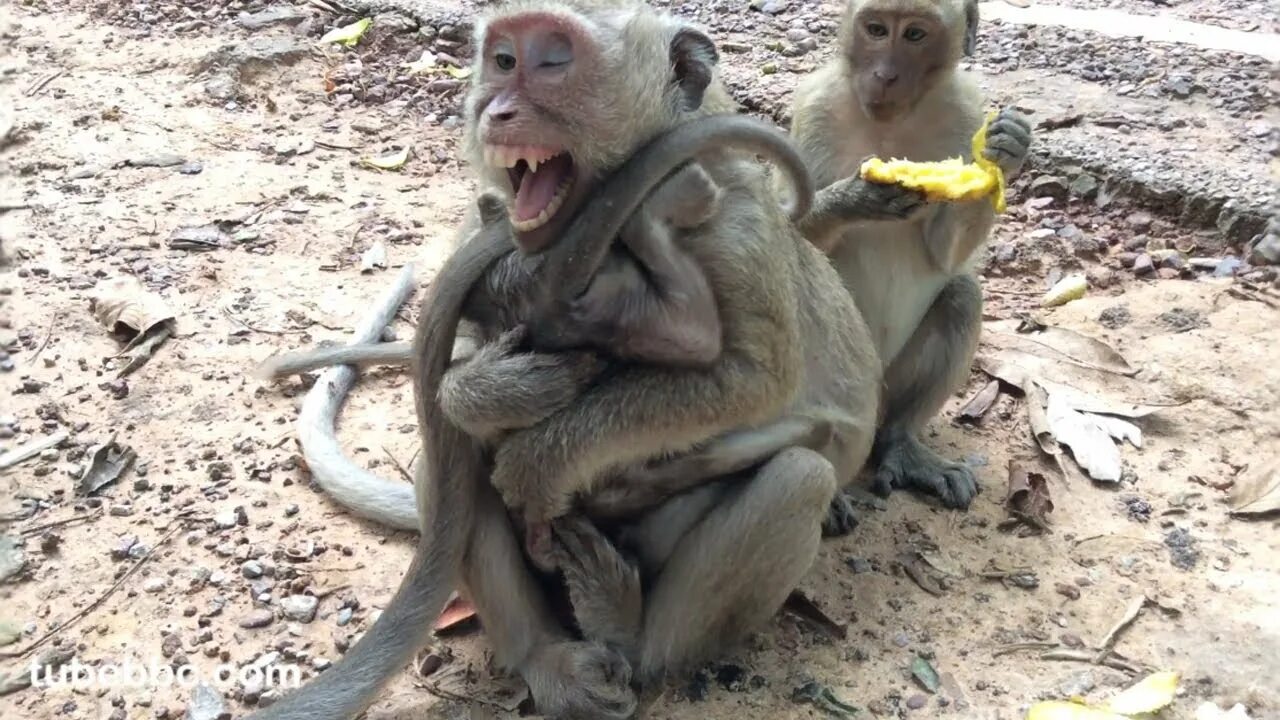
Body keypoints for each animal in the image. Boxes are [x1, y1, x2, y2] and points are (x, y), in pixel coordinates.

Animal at [246, 3, 882, 719]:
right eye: (502, 60)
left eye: (552, 60)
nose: (496, 111)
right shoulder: (491, 231)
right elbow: (454, 376)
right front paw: (503, 390)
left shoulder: (735, 222)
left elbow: (754, 379)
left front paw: (538, 460)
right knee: (446, 463)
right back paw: (546, 659)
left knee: (797, 478)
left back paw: (627, 632)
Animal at [778, 0, 1033, 510]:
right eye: (876, 29)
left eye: (915, 35)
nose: (885, 75)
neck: (890, 122)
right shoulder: (814, 106)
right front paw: (856, 197)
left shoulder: (964, 110)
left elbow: (945, 254)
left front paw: (1008, 148)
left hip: (887, 386)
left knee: (961, 294)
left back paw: (900, 443)